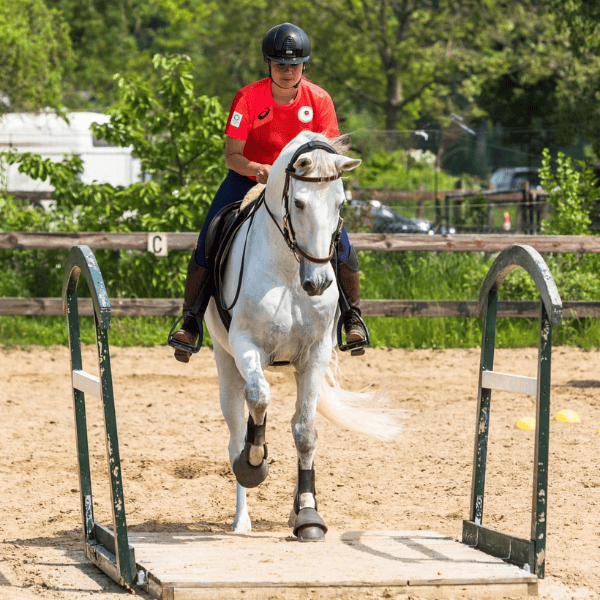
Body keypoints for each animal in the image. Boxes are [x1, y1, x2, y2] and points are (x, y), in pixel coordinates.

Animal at [205, 132, 404, 544]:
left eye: (340, 203)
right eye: (298, 202)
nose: (319, 282)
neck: (290, 269)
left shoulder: (314, 355)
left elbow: (305, 431)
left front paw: (309, 515)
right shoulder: (247, 345)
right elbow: (258, 399)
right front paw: (254, 464)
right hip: (225, 362)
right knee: (237, 428)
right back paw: (242, 517)